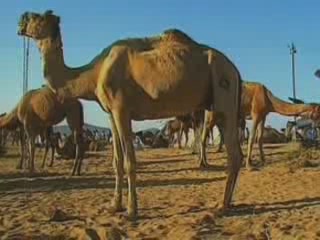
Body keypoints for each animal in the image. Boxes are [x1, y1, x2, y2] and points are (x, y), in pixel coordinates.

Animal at [17, 10, 242, 219]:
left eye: (36, 17)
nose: (20, 21)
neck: (94, 73)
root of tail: (235, 69)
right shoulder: (111, 114)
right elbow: (117, 161)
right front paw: (113, 206)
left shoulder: (121, 109)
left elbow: (129, 161)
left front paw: (131, 211)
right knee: (234, 152)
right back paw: (226, 203)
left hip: (224, 93)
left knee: (233, 153)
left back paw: (221, 206)